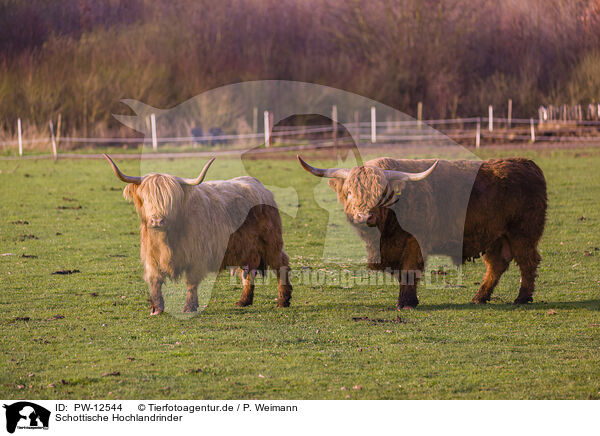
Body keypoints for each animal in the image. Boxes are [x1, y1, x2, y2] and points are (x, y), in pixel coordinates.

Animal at [105, 155, 292, 316]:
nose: (157, 220)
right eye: (147, 198)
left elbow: (191, 282)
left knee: (281, 264)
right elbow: (155, 280)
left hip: (271, 244)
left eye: (170, 200)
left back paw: (283, 301)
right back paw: (243, 301)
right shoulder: (152, 258)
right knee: (247, 272)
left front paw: (189, 307)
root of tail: (259, 185)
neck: (167, 239)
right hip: (244, 249)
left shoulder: (196, 257)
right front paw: (156, 308)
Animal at [298, 155, 548, 308]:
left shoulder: (414, 243)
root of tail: (527, 163)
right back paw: (480, 297)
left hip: (523, 233)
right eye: (349, 192)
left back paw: (522, 297)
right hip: (495, 236)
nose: (363, 217)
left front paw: (407, 302)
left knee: (528, 262)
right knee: (497, 265)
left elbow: (409, 270)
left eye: (382, 195)